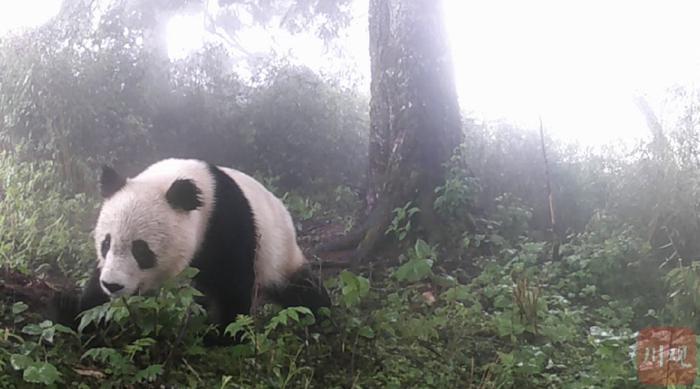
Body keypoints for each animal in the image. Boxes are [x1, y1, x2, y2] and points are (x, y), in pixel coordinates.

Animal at [52, 158, 330, 336]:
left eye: (141, 251)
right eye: (106, 243)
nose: (113, 285)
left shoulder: (225, 221)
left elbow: (233, 282)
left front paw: (223, 334)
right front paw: (75, 312)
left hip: (276, 251)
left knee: (298, 287)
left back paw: (321, 313)